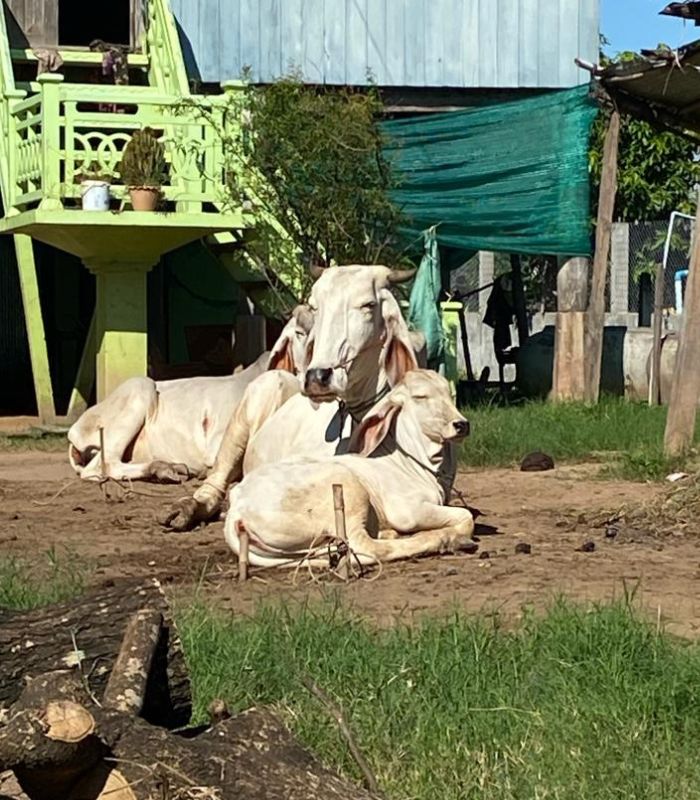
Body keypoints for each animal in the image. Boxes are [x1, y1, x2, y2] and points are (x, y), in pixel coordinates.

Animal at [224, 369, 476, 568]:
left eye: (449, 394)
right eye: (420, 396)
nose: (462, 425)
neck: (416, 466)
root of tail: (237, 509)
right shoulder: (408, 511)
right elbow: (467, 517)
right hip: (347, 491)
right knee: (367, 547)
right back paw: (444, 540)